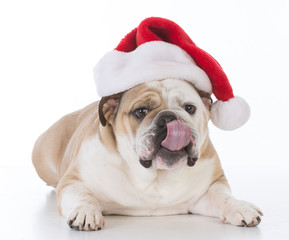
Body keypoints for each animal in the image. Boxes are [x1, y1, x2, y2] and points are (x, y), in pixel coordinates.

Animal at [32, 79, 262, 231]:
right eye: (140, 111)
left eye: (189, 108)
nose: (169, 117)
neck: (155, 175)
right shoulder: (73, 180)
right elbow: (83, 195)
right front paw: (86, 212)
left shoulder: (208, 189)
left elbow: (222, 197)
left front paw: (241, 207)